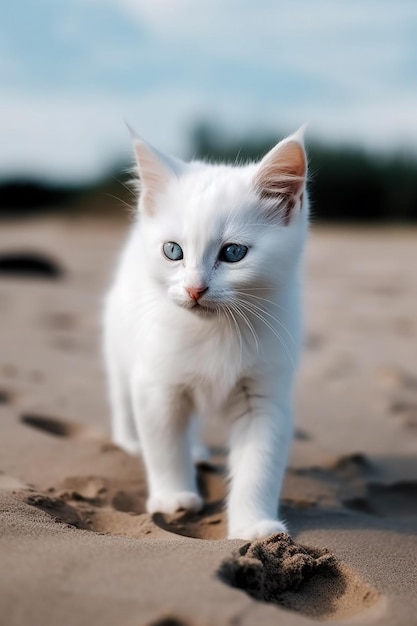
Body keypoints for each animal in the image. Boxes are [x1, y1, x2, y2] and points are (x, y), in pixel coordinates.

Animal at [102, 127, 308, 536]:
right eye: (172, 251)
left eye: (233, 253)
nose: (195, 289)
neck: (218, 331)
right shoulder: (157, 385)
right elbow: (164, 446)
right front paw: (174, 497)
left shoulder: (264, 397)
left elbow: (258, 467)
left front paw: (253, 525)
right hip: (119, 343)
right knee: (121, 397)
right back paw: (130, 440)